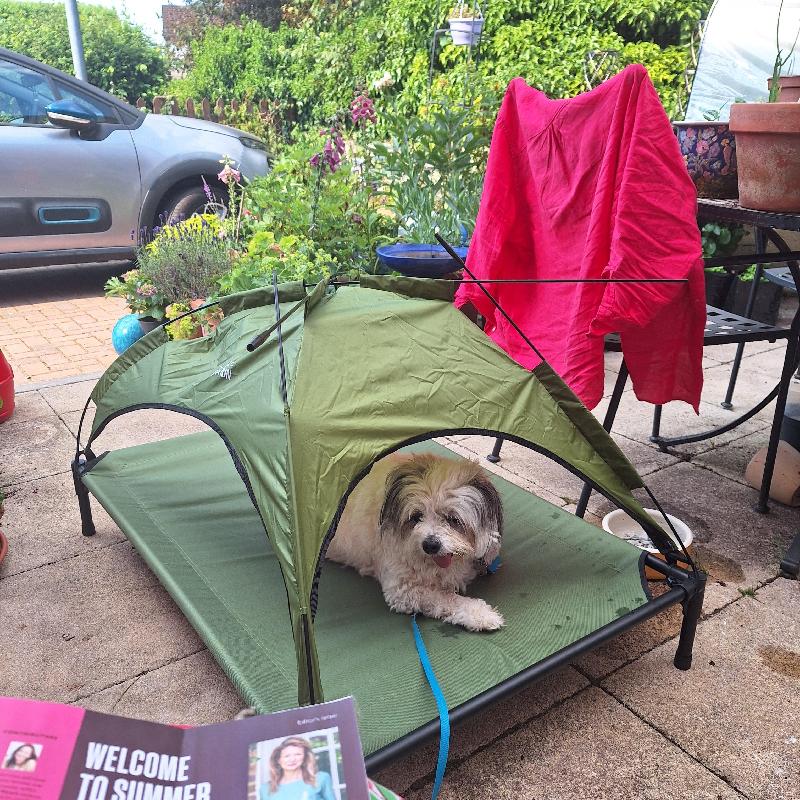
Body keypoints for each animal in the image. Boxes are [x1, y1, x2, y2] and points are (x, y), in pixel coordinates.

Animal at [326, 450, 506, 632]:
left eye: (453, 519)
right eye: (416, 516)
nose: (430, 545)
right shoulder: (403, 590)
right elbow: (447, 598)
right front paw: (481, 615)